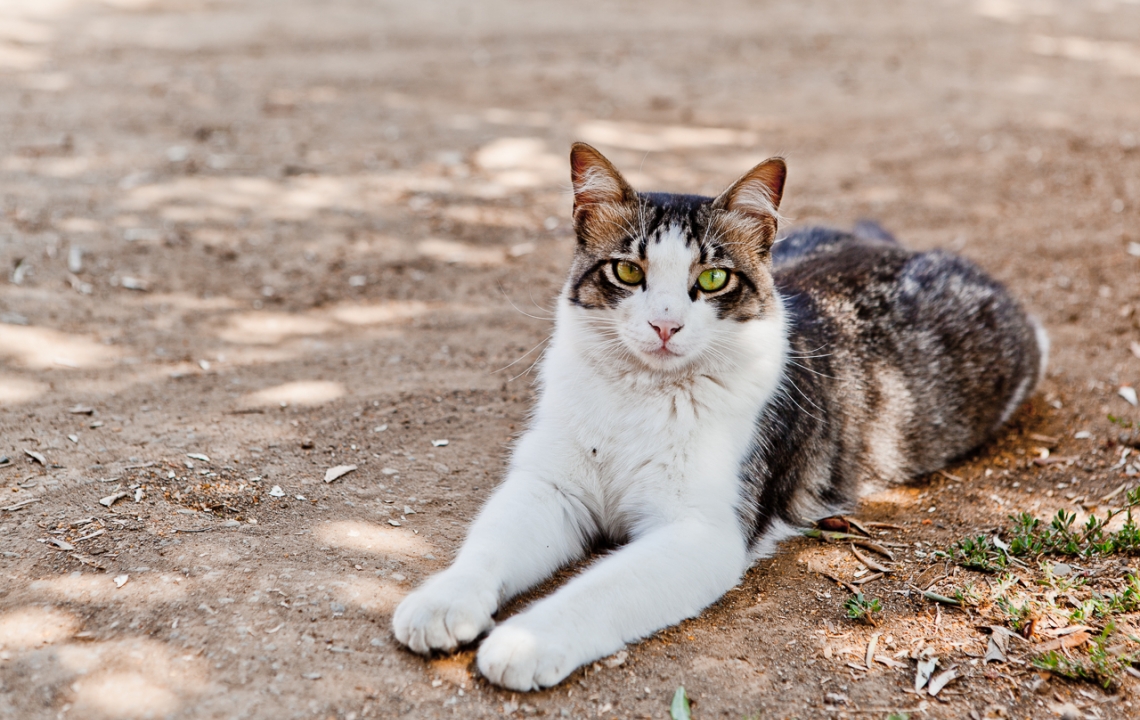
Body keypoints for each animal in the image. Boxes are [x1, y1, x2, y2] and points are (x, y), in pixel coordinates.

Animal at [392, 142, 1047, 691]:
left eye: (712, 278)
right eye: (627, 271)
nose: (665, 324)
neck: (641, 394)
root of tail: (896, 246)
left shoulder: (702, 533)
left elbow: (598, 589)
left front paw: (526, 640)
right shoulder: (550, 488)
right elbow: (489, 546)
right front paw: (445, 599)